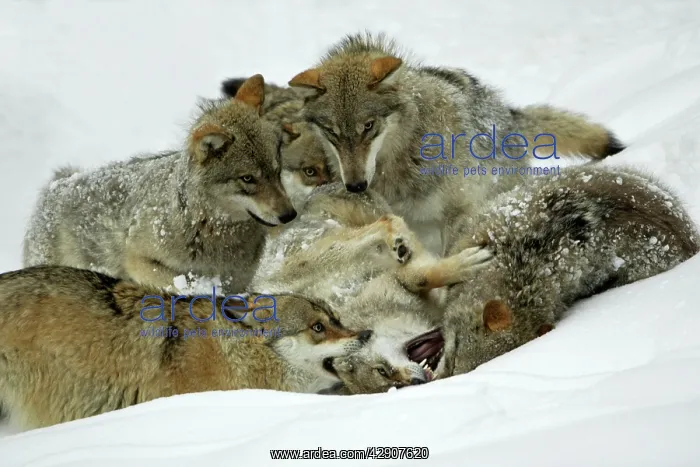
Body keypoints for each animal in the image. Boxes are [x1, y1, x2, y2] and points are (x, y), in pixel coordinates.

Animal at [23, 75, 296, 292]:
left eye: (276, 170)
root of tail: (56, 185)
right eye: (248, 178)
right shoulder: (139, 261)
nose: (290, 215)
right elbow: (186, 287)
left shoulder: (238, 283)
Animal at [288, 32, 626, 253]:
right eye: (332, 132)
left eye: (368, 127)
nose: (356, 186)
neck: (399, 159)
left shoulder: (457, 213)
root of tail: (509, 114)